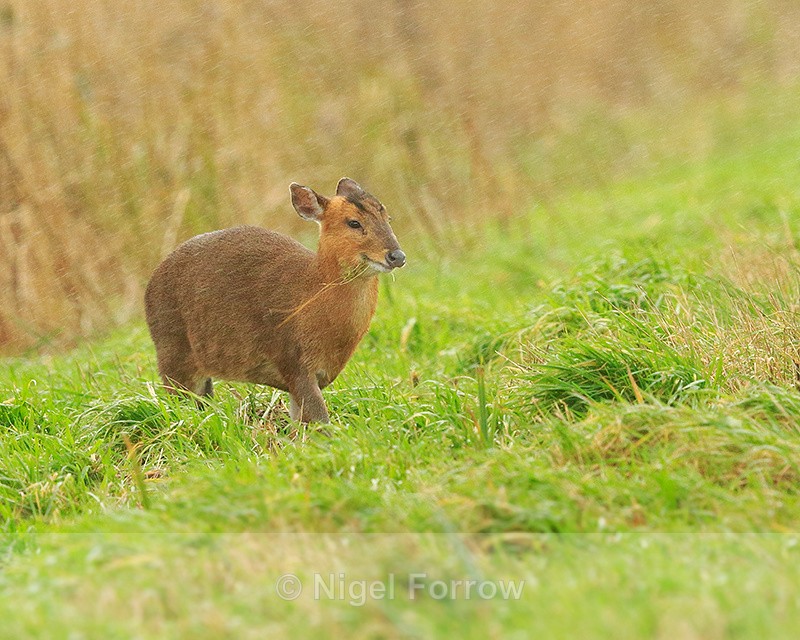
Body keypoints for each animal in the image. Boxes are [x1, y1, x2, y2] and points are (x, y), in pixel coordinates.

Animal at [144, 178, 405, 423]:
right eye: (353, 222)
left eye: (388, 217)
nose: (397, 256)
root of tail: (150, 285)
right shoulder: (292, 360)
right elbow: (321, 421)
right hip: (173, 353)